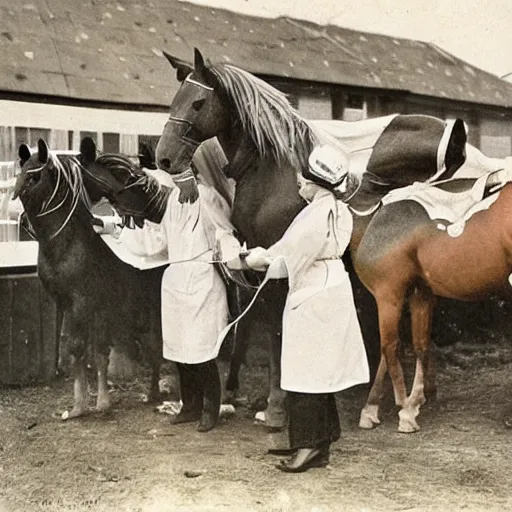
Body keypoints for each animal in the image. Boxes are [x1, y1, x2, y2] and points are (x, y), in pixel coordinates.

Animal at [13, 140, 163, 420]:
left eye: (35, 175)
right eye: (21, 171)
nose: (22, 215)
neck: (65, 245)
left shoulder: (85, 304)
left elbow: (90, 350)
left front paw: (92, 404)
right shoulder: (68, 304)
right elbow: (82, 350)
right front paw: (85, 404)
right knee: (154, 347)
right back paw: (154, 394)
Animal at [155, 48, 468, 430]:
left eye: (198, 103)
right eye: (176, 100)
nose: (164, 157)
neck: (270, 171)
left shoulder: (276, 265)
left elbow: (275, 331)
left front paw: (276, 406)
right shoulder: (251, 263)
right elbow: (250, 326)